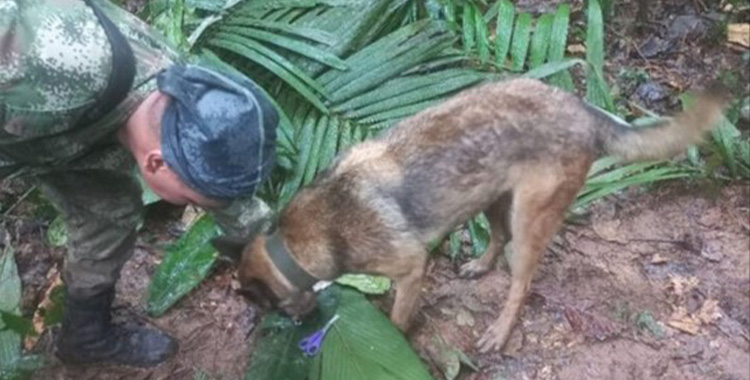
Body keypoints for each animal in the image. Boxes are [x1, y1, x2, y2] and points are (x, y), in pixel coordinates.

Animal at [213, 78, 728, 354]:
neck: (297, 241)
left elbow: (397, 317)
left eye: (268, 307)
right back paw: (480, 265)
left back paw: (499, 331)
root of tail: (583, 109)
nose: (297, 327)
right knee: (496, 238)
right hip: (493, 196)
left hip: (528, 218)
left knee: (521, 282)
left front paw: (393, 337)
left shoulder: (410, 267)